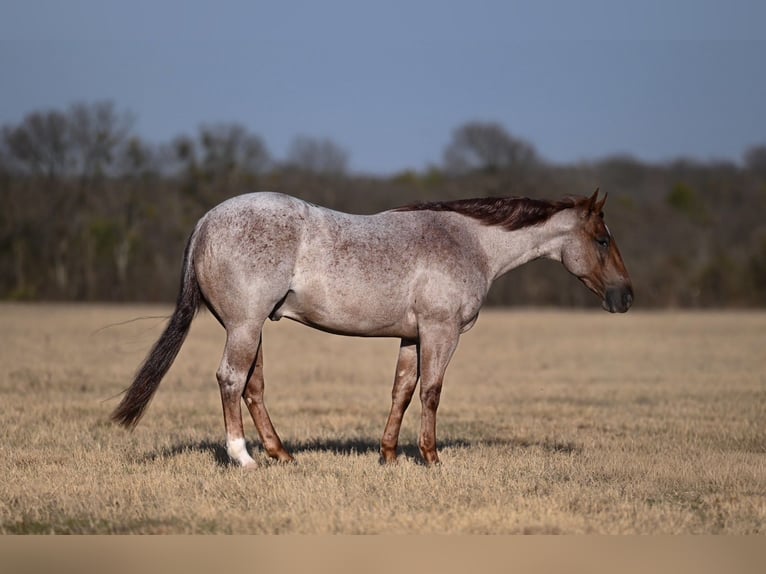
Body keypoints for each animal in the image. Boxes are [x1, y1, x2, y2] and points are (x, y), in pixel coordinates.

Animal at [112, 189, 633, 467]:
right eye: (602, 240)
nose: (625, 297)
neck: (469, 243)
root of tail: (206, 220)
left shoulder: (412, 336)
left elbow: (402, 391)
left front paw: (389, 455)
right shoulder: (441, 333)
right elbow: (432, 392)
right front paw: (431, 457)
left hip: (251, 328)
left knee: (252, 387)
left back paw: (281, 454)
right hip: (244, 326)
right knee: (230, 380)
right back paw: (243, 457)